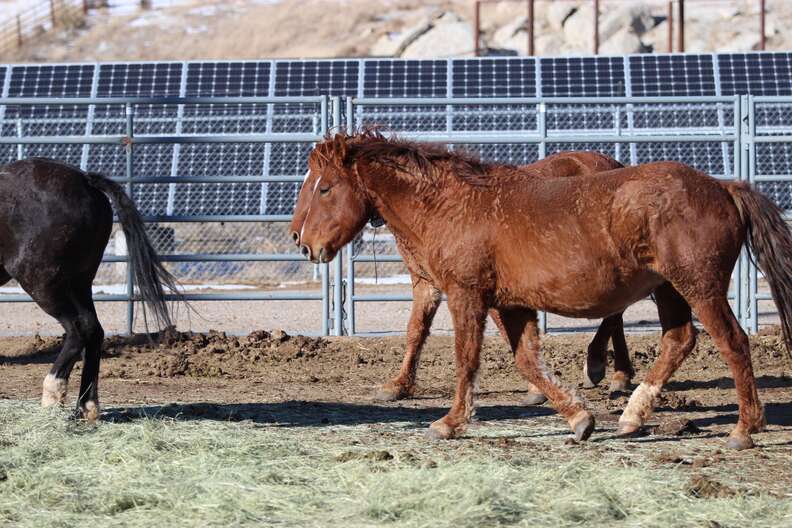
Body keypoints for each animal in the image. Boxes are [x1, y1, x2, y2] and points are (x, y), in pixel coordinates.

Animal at [290, 148, 632, 404]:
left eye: (323, 188)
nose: (300, 240)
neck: (436, 204)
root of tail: (613, 164)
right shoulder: (426, 282)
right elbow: (416, 330)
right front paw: (398, 385)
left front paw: (537, 389)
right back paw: (619, 374)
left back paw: (599, 365)